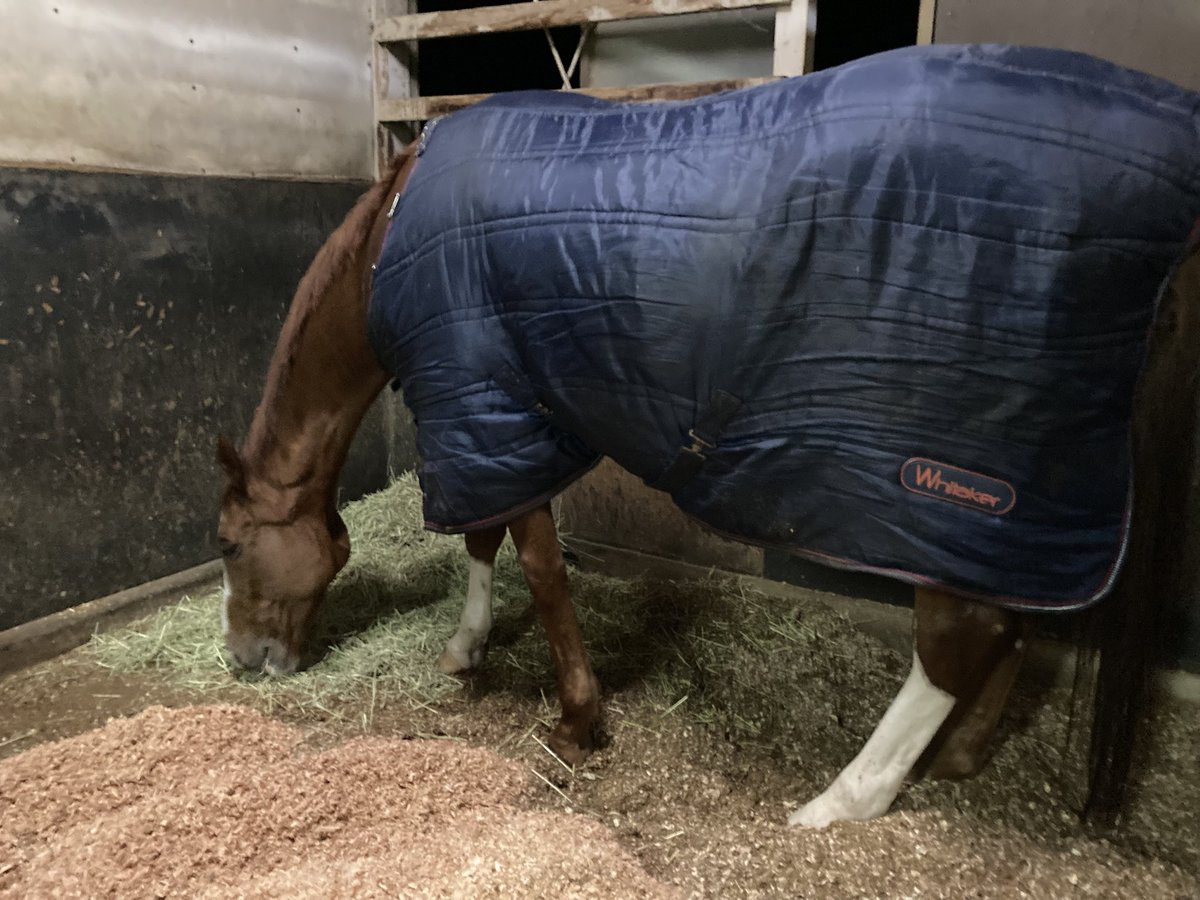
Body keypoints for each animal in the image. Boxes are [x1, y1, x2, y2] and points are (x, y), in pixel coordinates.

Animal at [216, 44, 1200, 828]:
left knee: (959, 638)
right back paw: (955, 759)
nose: (242, 661)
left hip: (943, 487)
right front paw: (469, 648)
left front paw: (575, 718)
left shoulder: (484, 401)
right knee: (1005, 623)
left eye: (228, 545)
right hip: (1004, 512)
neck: (393, 241)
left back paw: (847, 798)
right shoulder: (504, 417)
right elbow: (488, 542)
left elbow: (535, 564)